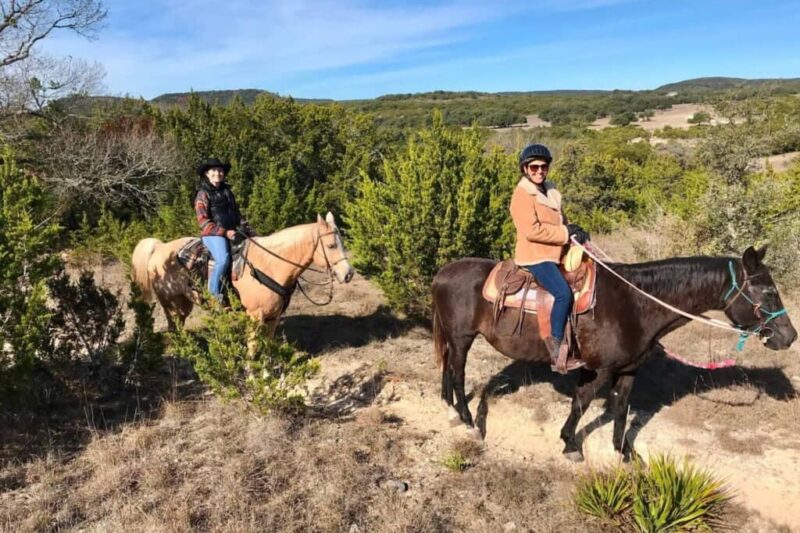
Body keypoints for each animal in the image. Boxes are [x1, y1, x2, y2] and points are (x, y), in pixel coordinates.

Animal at [132, 212, 354, 332]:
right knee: (173, 328)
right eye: (331, 245)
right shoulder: (256, 316)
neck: (270, 265)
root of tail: (159, 248)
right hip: (170, 304)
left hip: (184, 303)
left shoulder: (273, 317)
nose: (348, 274)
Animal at [434, 247, 796, 460]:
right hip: (463, 338)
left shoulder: (628, 369)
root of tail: (442, 273)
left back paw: (449, 404)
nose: (789, 336)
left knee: (447, 368)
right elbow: (581, 402)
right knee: (458, 372)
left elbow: (622, 409)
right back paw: (468, 420)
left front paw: (624, 452)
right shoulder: (600, 368)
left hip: (453, 337)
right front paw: (570, 443)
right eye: (769, 292)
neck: (637, 304)